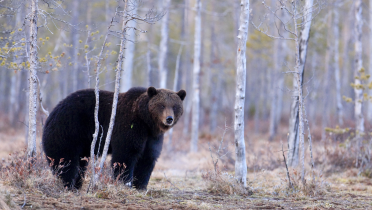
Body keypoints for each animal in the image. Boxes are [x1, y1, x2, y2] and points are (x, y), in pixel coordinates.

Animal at [41, 87, 186, 190]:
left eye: (175, 106)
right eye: (161, 105)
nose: (169, 119)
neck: (146, 121)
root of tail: (52, 112)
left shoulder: (152, 137)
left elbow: (147, 158)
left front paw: (140, 186)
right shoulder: (129, 126)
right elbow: (125, 155)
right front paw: (125, 182)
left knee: (80, 163)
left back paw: (77, 184)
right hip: (69, 129)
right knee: (65, 159)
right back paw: (68, 183)